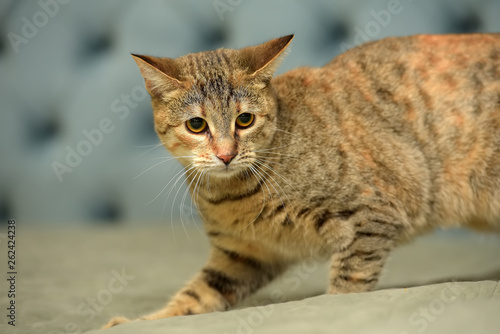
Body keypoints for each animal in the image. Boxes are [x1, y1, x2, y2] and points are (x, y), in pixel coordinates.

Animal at [102, 34, 500, 328]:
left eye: (245, 120)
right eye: (197, 125)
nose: (227, 154)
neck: (235, 196)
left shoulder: (376, 212)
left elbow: (350, 282)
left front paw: (337, 304)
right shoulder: (242, 252)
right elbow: (197, 295)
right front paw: (140, 321)